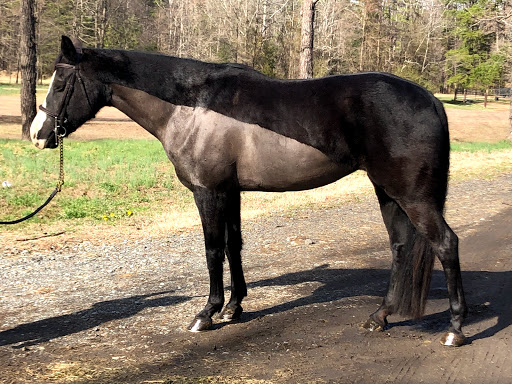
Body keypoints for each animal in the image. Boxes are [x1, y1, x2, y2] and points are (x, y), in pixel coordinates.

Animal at [30, 37, 466, 346]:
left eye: (61, 82)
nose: (37, 135)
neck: (191, 105)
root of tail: (430, 98)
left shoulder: (208, 192)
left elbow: (211, 250)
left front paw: (206, 314)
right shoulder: (231, 192)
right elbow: (233, 245)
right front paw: (234, 307)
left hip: (412, 196)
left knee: (445, 243)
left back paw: (455, 328)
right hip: (389, 193)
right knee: (401, 247)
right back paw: (380, 317)